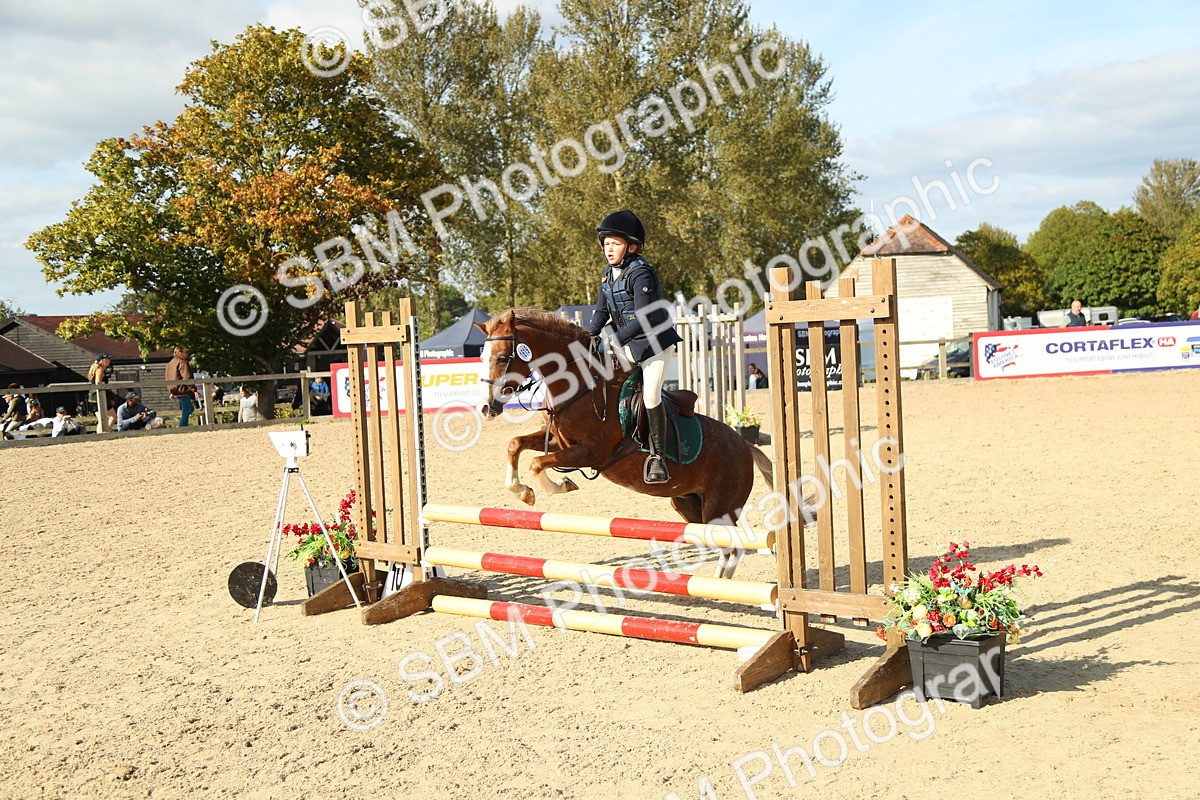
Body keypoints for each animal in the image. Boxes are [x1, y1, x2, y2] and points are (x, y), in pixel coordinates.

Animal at [474, 308, 773, 578]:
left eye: (502, 358)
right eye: (481, 357)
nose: (487, 408)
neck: (581, 385)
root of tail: (744, 445)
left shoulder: (591, 453)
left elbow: (537, 463)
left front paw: (556, 486)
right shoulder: (560, 443)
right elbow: (515, 444)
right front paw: (522, 490)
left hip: (719, 507)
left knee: (733, 548)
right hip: (688, 504)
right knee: (726, 546)